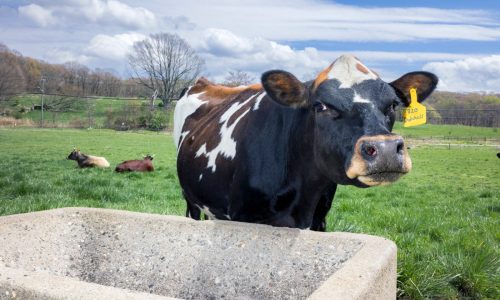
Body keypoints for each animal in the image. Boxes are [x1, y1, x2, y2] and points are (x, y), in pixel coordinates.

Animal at [173, 54, 438, 232]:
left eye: (393, 104)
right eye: (320, 106)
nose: (385, 150)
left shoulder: (320, 219)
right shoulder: (242, 216)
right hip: (190, 198)